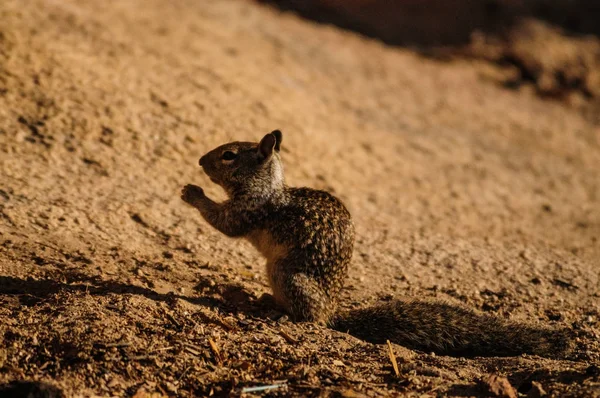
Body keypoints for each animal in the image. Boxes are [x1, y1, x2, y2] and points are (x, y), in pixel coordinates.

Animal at [180, 131, 576, 358]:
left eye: (230, 154)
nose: (199, 160)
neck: (267, 186)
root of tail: (333, 309)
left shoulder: (250, 210)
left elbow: (225, 223)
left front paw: (193, 193)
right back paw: (265, 300)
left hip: (287, 274)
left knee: (312, 319)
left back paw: (283, 315)